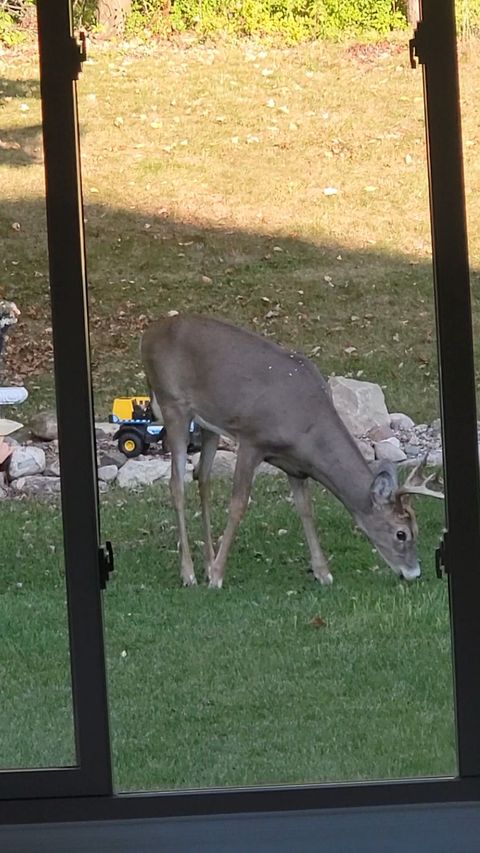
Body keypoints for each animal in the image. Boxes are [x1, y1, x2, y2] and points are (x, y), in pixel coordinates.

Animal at [141, 316, 444, 588]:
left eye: (417, 529)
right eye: (402, 534)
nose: (414, 574)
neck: (305, 425)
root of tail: (149, 333)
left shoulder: (294, 464)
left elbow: (305, 508)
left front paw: (323, 573)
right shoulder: (252, 440)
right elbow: (238, 504)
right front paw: (217, 577)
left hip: (208, 424)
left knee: (202, 477)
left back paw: (206, 563)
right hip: (173, 405)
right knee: (176, 485)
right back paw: (189, 574)